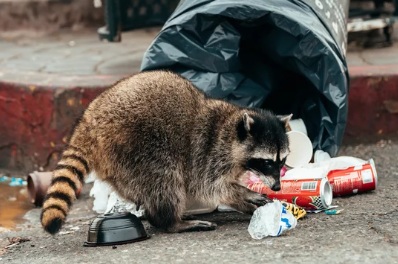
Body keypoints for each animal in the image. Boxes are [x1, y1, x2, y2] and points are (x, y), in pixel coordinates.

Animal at [40, 70, 290, 235]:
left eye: (282, 161)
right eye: (267, 162)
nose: (278, 187)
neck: (230, 128)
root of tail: (89, 122)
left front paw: (246, 194)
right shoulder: (208, 152)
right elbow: (211, 186)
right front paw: (243, 195)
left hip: (119, 163)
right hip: (137, 146)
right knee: (164, 180)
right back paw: (171, 222)